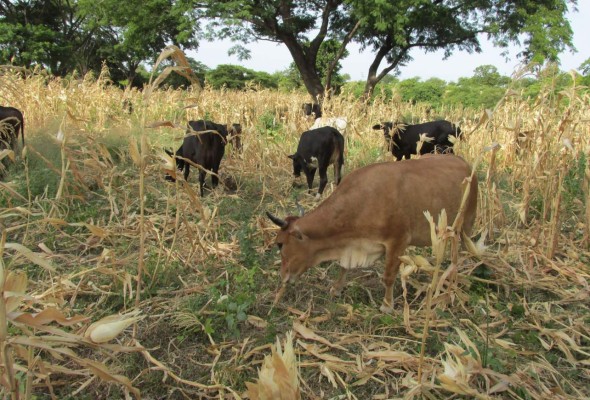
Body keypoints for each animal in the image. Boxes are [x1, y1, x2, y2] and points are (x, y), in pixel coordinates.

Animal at [268, 155, 480, 314]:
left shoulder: (397, 242)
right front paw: (336, 288)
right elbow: (344, 267)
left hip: (465, 226)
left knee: (461, 254)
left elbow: (388, 276)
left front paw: (387, 305)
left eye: (280, 243)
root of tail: (465, 164)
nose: (283, 276)